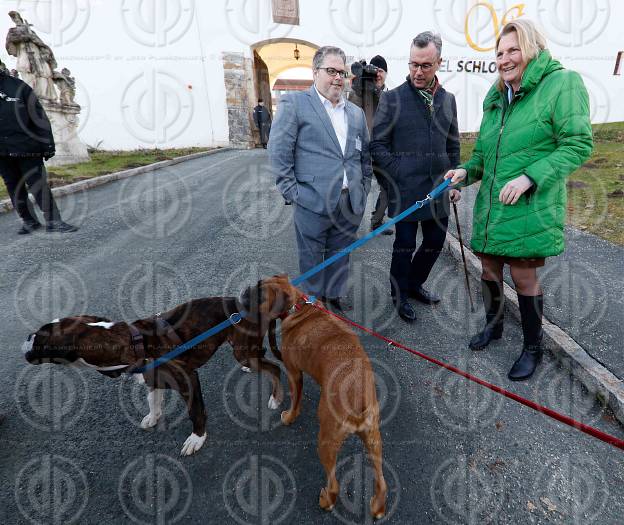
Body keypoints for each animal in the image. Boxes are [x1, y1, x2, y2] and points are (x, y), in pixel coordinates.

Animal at [23, 298, 282, 454]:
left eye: (40, 337)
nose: (26, 337)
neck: (133, 341)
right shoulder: (153, 379)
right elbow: (153, 400)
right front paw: (153, 416)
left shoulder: (188, 379)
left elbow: (195, 411)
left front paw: (197, 438)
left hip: (242, 350)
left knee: (274, 368)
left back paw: (276, 397)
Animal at [243, 274, 386, 516]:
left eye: (259, 296)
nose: (245, 291)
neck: (298, 307)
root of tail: (359, 400)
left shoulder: (294, 373)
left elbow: (295, 401)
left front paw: (289, 417)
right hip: (373, 440)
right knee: (382, 482)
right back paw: (378, 507)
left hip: (326, 442)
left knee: (334, 484)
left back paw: (326, 501)